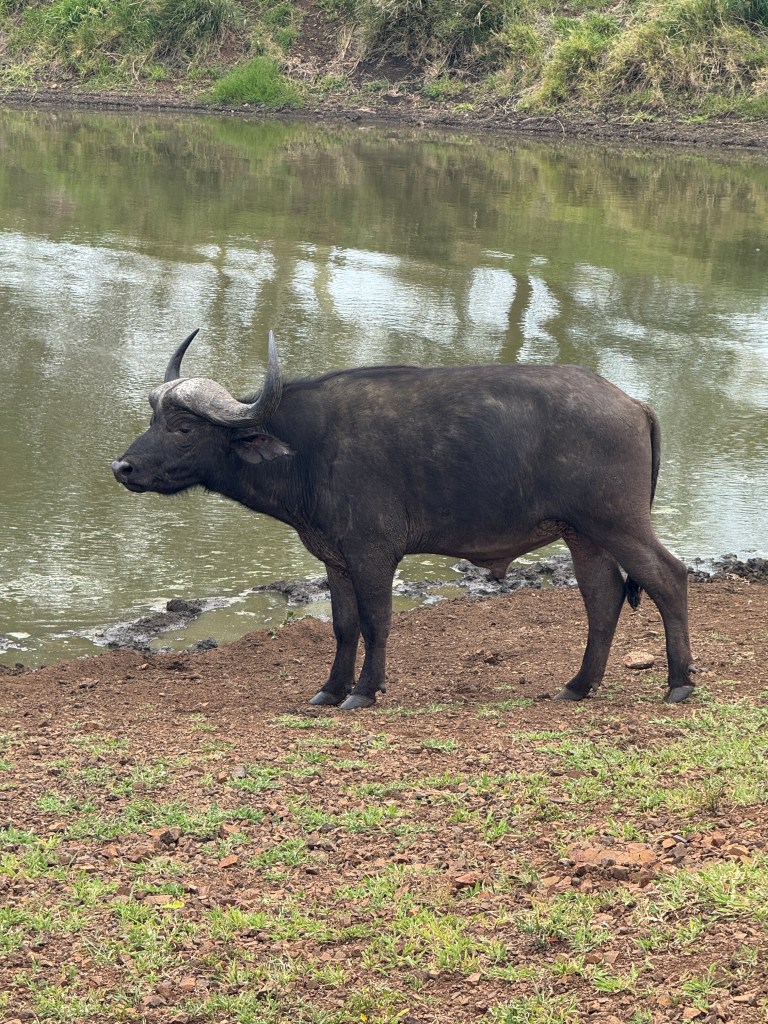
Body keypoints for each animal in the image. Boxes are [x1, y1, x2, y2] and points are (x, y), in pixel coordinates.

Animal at [112, 330, 694, 709]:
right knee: (603, 597)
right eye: (153, 420)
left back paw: (679, 684)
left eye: (183, 428)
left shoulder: (373, 553)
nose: (123, 467)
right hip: (584, 535)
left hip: (619, 522)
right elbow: (344, 624)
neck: (307, 449)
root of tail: (634, 404)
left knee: (668, 577)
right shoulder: (335, 558)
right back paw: (577, 685)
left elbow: (377, 621)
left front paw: (364, 692)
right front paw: (331, 689)